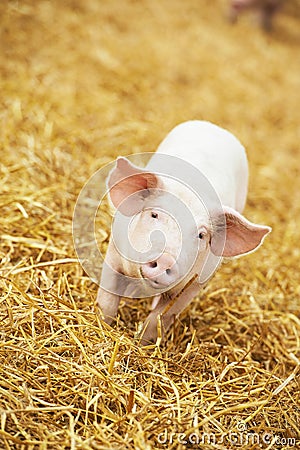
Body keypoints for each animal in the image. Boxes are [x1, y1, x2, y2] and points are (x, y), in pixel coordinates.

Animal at [96, 120, 272, 344]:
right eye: (154, 214)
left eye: (201, 235)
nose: (166, 258)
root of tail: (214, 127)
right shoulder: (114, 253)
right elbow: (108, 300)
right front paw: (103, 325)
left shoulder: (195, 283)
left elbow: (160, 317)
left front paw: (142, 343)